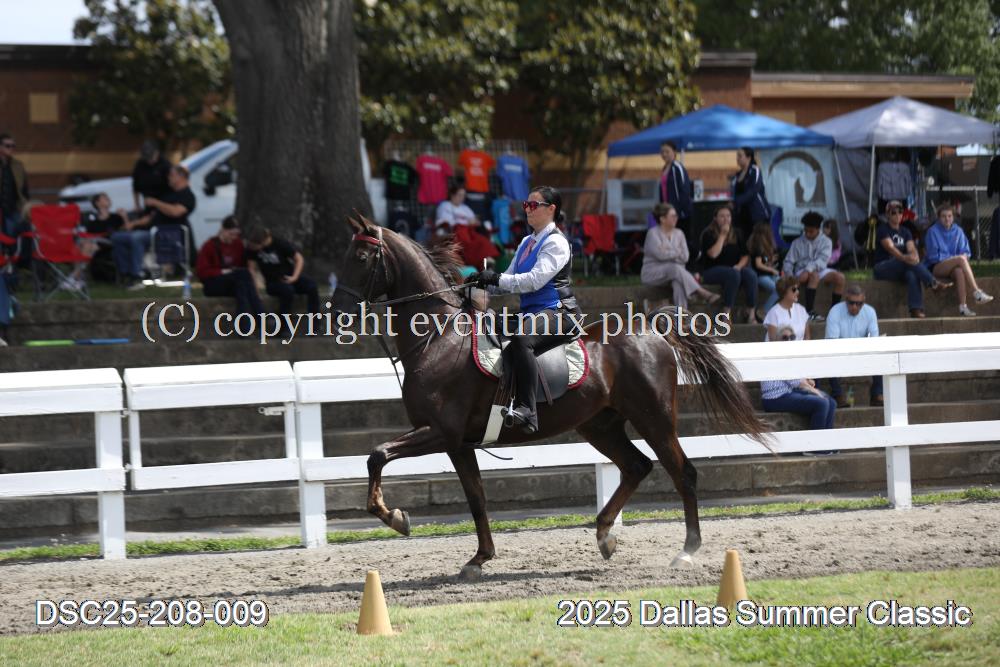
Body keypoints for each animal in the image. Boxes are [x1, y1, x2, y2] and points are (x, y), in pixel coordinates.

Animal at [332, 217, 772, 580]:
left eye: (362, 256)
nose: (336, 311)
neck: (440, 339)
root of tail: (650, 328)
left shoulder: (440, 432)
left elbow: (377, 455)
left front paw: (395, 518)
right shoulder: (459, 443)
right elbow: (476, 498)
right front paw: (479, 558)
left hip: (655, 420)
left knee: (684, 474)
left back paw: (686, 551)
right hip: (600, 425)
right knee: (636, 467)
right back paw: (605, 535)